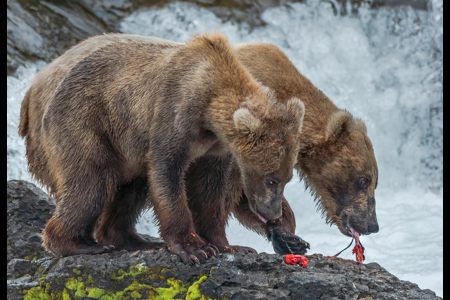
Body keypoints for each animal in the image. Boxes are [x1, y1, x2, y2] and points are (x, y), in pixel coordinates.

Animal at [19, 32, 304, 264]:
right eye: (271, 179)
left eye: (288, 177)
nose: (272, 214)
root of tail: (32, 90)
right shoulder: (173, 116)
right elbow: (168, 175)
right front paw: (195, 249)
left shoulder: (214, 148)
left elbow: (209, 190)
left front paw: (227, 245)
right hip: (87, 122)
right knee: (92, 182)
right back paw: (78, 244)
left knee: (130, 188)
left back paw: (135, 241)